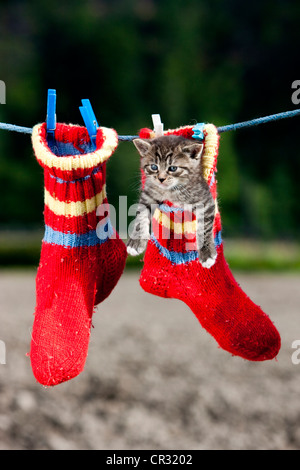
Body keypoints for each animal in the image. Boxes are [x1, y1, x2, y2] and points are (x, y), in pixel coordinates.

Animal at [127, 136, 217, 268]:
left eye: (173, 168)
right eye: (154, 167)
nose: (161, 179)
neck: (170, 190)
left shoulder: (204, 199)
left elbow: (204, 227)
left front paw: (207, 253)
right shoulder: (148, 194)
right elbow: (141, 215)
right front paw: (136, 241)